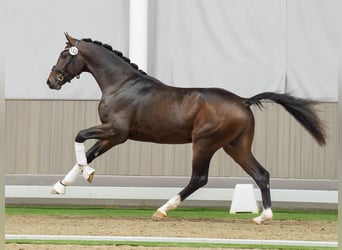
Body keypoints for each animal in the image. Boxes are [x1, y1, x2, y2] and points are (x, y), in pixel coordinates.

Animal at [46, 33, 326, 225]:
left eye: (64, 55)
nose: (51, 82)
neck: (121, 85)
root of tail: (243, 101)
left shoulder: (116, 132)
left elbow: (80, 137)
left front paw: (86, 174)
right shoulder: (113, 136)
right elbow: (90, 152)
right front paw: (61, 186)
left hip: (204, 143)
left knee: (199, 178)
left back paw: (163, 209)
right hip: (235, 146)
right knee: (261, 174)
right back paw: (263, 217)